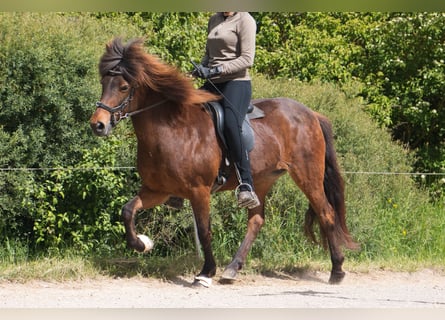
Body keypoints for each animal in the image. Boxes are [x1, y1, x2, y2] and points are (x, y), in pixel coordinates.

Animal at [89, 37, 358, 284]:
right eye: (103, 82)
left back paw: (337, 270)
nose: (98, 125)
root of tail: (311, 113)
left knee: (326, 213)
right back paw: (232, 268)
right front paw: (142, 244)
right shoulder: (157, 190)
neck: (172, 130)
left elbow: (204, 230)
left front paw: (206, 272)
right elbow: (127, 211)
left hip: (308, 176)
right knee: (256, 220)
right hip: (262, 180)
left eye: (124, 87)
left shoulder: (199, 191)